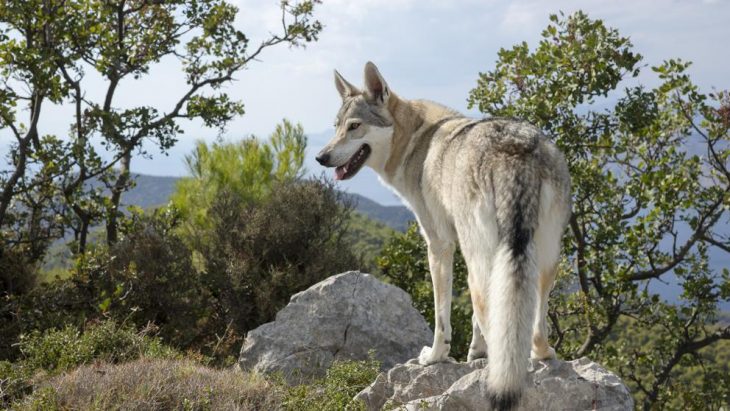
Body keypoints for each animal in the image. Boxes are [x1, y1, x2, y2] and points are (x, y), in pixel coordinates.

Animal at [316, 61, 572, 408]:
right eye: (336, 127)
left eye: (354, 127)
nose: (321, 157)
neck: (414, 141)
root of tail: (515, 149)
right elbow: (473, 322)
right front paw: (475, 353)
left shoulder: (439, 245)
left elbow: (441, 316)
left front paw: (434, 357)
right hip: (542, 259)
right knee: (531, 327)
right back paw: (541, 355)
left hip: (484, 261)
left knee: (493, 317)